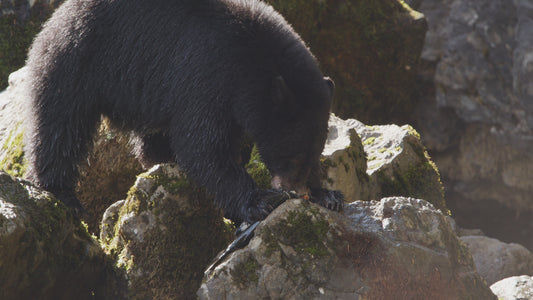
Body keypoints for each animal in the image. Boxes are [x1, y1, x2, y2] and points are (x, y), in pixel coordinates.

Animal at [23, 0, 340, 224]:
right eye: (292, 154)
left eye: (314, 154)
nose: (297, 190)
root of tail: (56, 16)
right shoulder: (208, 74)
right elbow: (202, 146)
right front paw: (257, 201)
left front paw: (328, 193)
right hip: (77, 61)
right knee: (60, 125)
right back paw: (64, 195)